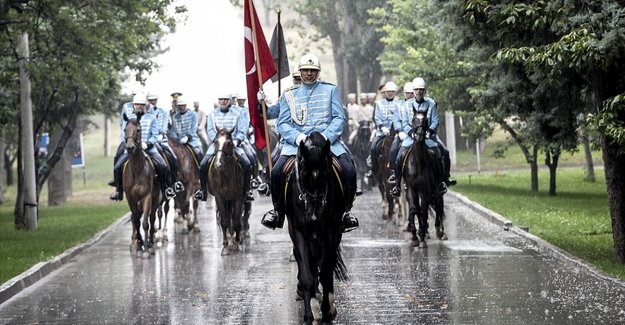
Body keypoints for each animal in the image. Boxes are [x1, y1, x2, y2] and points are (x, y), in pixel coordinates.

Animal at [121, 116, 161, 256]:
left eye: (138, 130)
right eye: (125, 129)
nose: (130, 147)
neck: (137, 170)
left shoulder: (147, 196)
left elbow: (145, 222)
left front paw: (147, 248)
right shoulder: (131, 198)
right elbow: (137, 221)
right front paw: (139, 246)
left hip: (155, 199)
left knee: (152, 218)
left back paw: (150, 242)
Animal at [286, 130, 348, 322]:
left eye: (326, 172)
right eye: (304, 172)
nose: (315, 214)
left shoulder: (331, 233)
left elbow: (326, 273)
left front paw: (328, 309)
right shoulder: (299, 233)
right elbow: (307, 274)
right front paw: (309, 313)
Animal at [402, 107, 446, 247]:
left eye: (426, 120)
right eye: (413, 119)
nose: (420, 135)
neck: (418, 162)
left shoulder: (425, 190)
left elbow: (423, 211)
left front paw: (421, 237)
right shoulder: (411, 189)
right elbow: (414, 209)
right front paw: (415, 237)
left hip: (437, 189)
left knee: (438, 205)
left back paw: (440, 232)